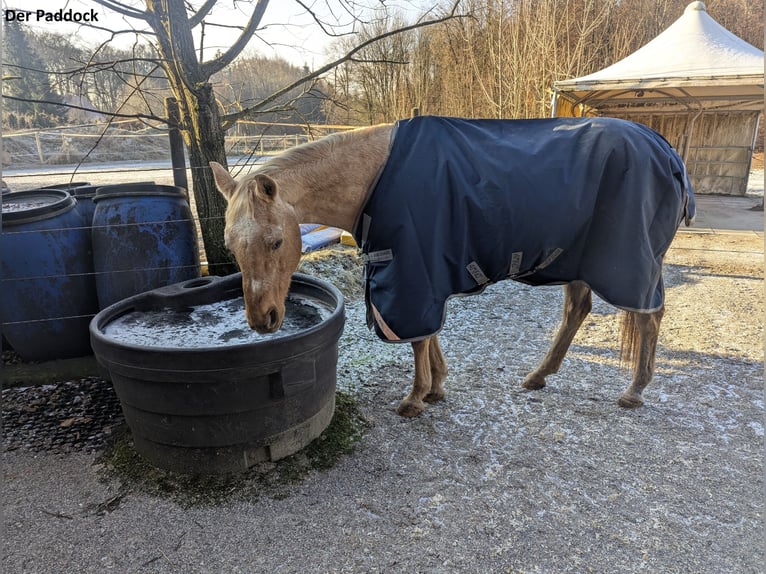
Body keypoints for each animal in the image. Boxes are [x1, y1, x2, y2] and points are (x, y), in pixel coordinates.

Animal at [210, 115, 696, 418]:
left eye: (275, 241)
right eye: (230, 244)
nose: (263, 320)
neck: (376, 176)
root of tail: (667, 152)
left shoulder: (411, 272)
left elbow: (417, 339)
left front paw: (415, 397)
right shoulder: (419, 270)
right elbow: (429, 334)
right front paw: (437, 387)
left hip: (629, 262)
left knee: (649, 316)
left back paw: (634, 390)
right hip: (575, 260)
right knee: (578, 312)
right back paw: (538, 377)